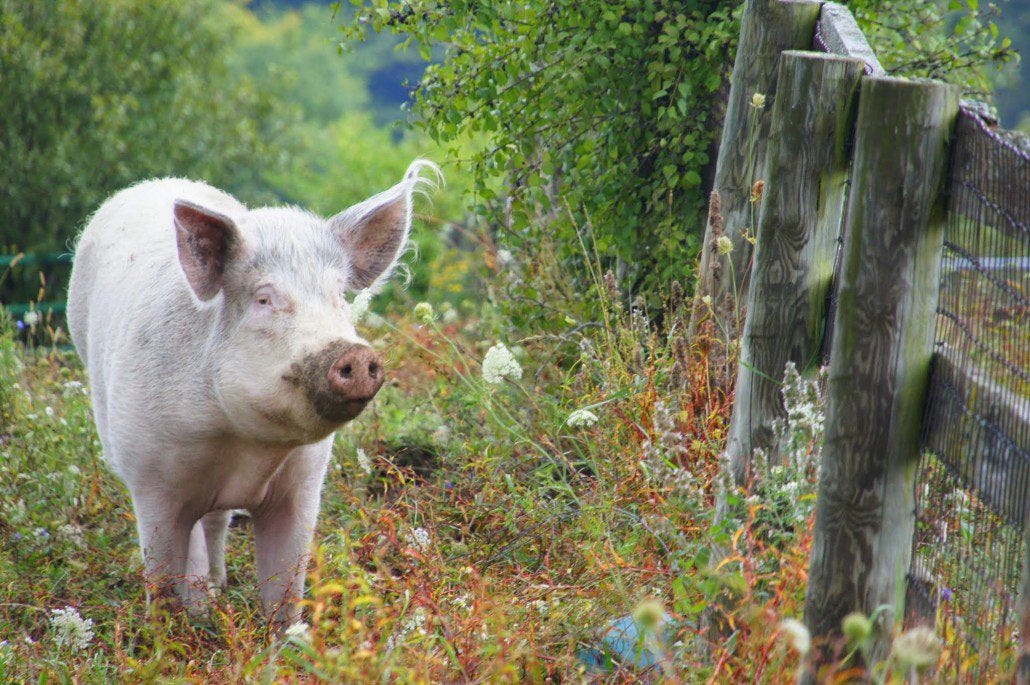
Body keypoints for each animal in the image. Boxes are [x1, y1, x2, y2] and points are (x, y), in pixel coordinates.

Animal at [66, 161, 435, 625]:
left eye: (338, 295)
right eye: (263, 299)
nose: (353, 352)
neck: (246, 446)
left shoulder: (304, 482)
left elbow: (286, 589)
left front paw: (287, 639)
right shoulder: (149, 479)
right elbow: (162, 579)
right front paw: (165, 634)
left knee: (216, 524)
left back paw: (218, 587)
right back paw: (203, 605)